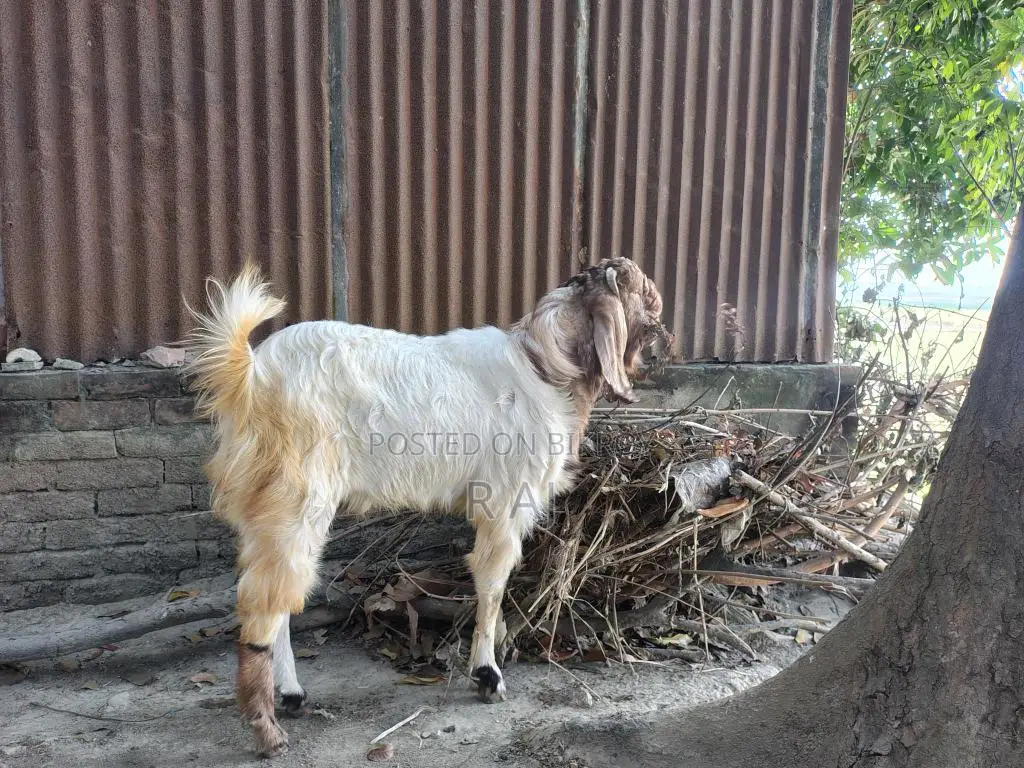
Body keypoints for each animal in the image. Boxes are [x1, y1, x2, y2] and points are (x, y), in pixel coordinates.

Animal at [184, 257, 671, 757]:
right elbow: (492, 581)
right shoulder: (505, 500)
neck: (544, 367)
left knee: (277, 591)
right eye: (647, 304)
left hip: (262, 507)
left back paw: (292, 695)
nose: (665, 345)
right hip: (295, 495)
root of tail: (250, 377)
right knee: (263, 600)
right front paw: (487, 675)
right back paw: (266, 729)